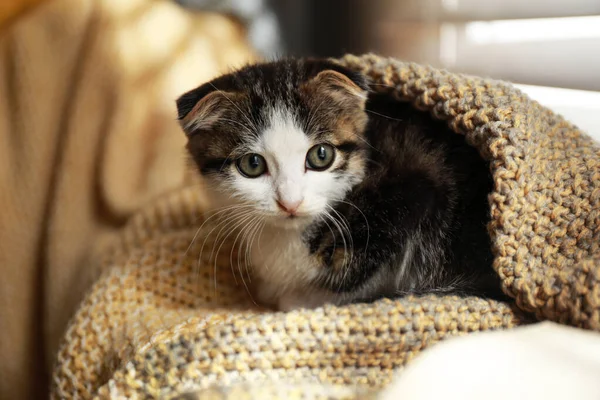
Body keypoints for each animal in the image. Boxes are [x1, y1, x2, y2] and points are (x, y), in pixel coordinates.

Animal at [176, 57, 504, 310]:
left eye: (321, 155)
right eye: (252, 165)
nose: (290, 203)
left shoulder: (416, 190)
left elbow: (359, 274)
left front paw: (299, 298)